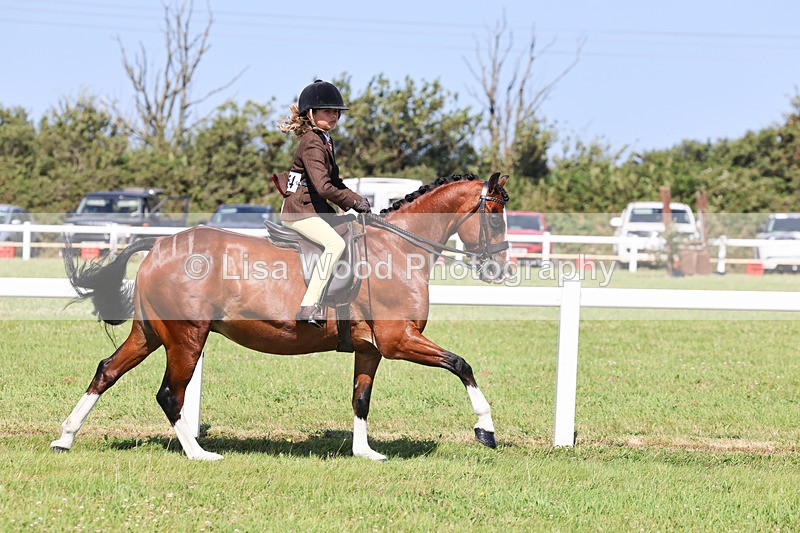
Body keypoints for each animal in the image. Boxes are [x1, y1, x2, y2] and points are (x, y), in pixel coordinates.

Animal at [51, 173, 510, 461]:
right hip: (186, 338)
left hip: (150, 333)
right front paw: (486, 430)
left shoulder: (371, 348)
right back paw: (199, 453)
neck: (397, 249)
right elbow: (462, 365)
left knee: (107, 370)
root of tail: (161, 244)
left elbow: (361, 399)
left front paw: (365, 452)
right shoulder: (399, 341)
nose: (498, 270)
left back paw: (65, 437)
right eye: (493, 215)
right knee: (170, 394)